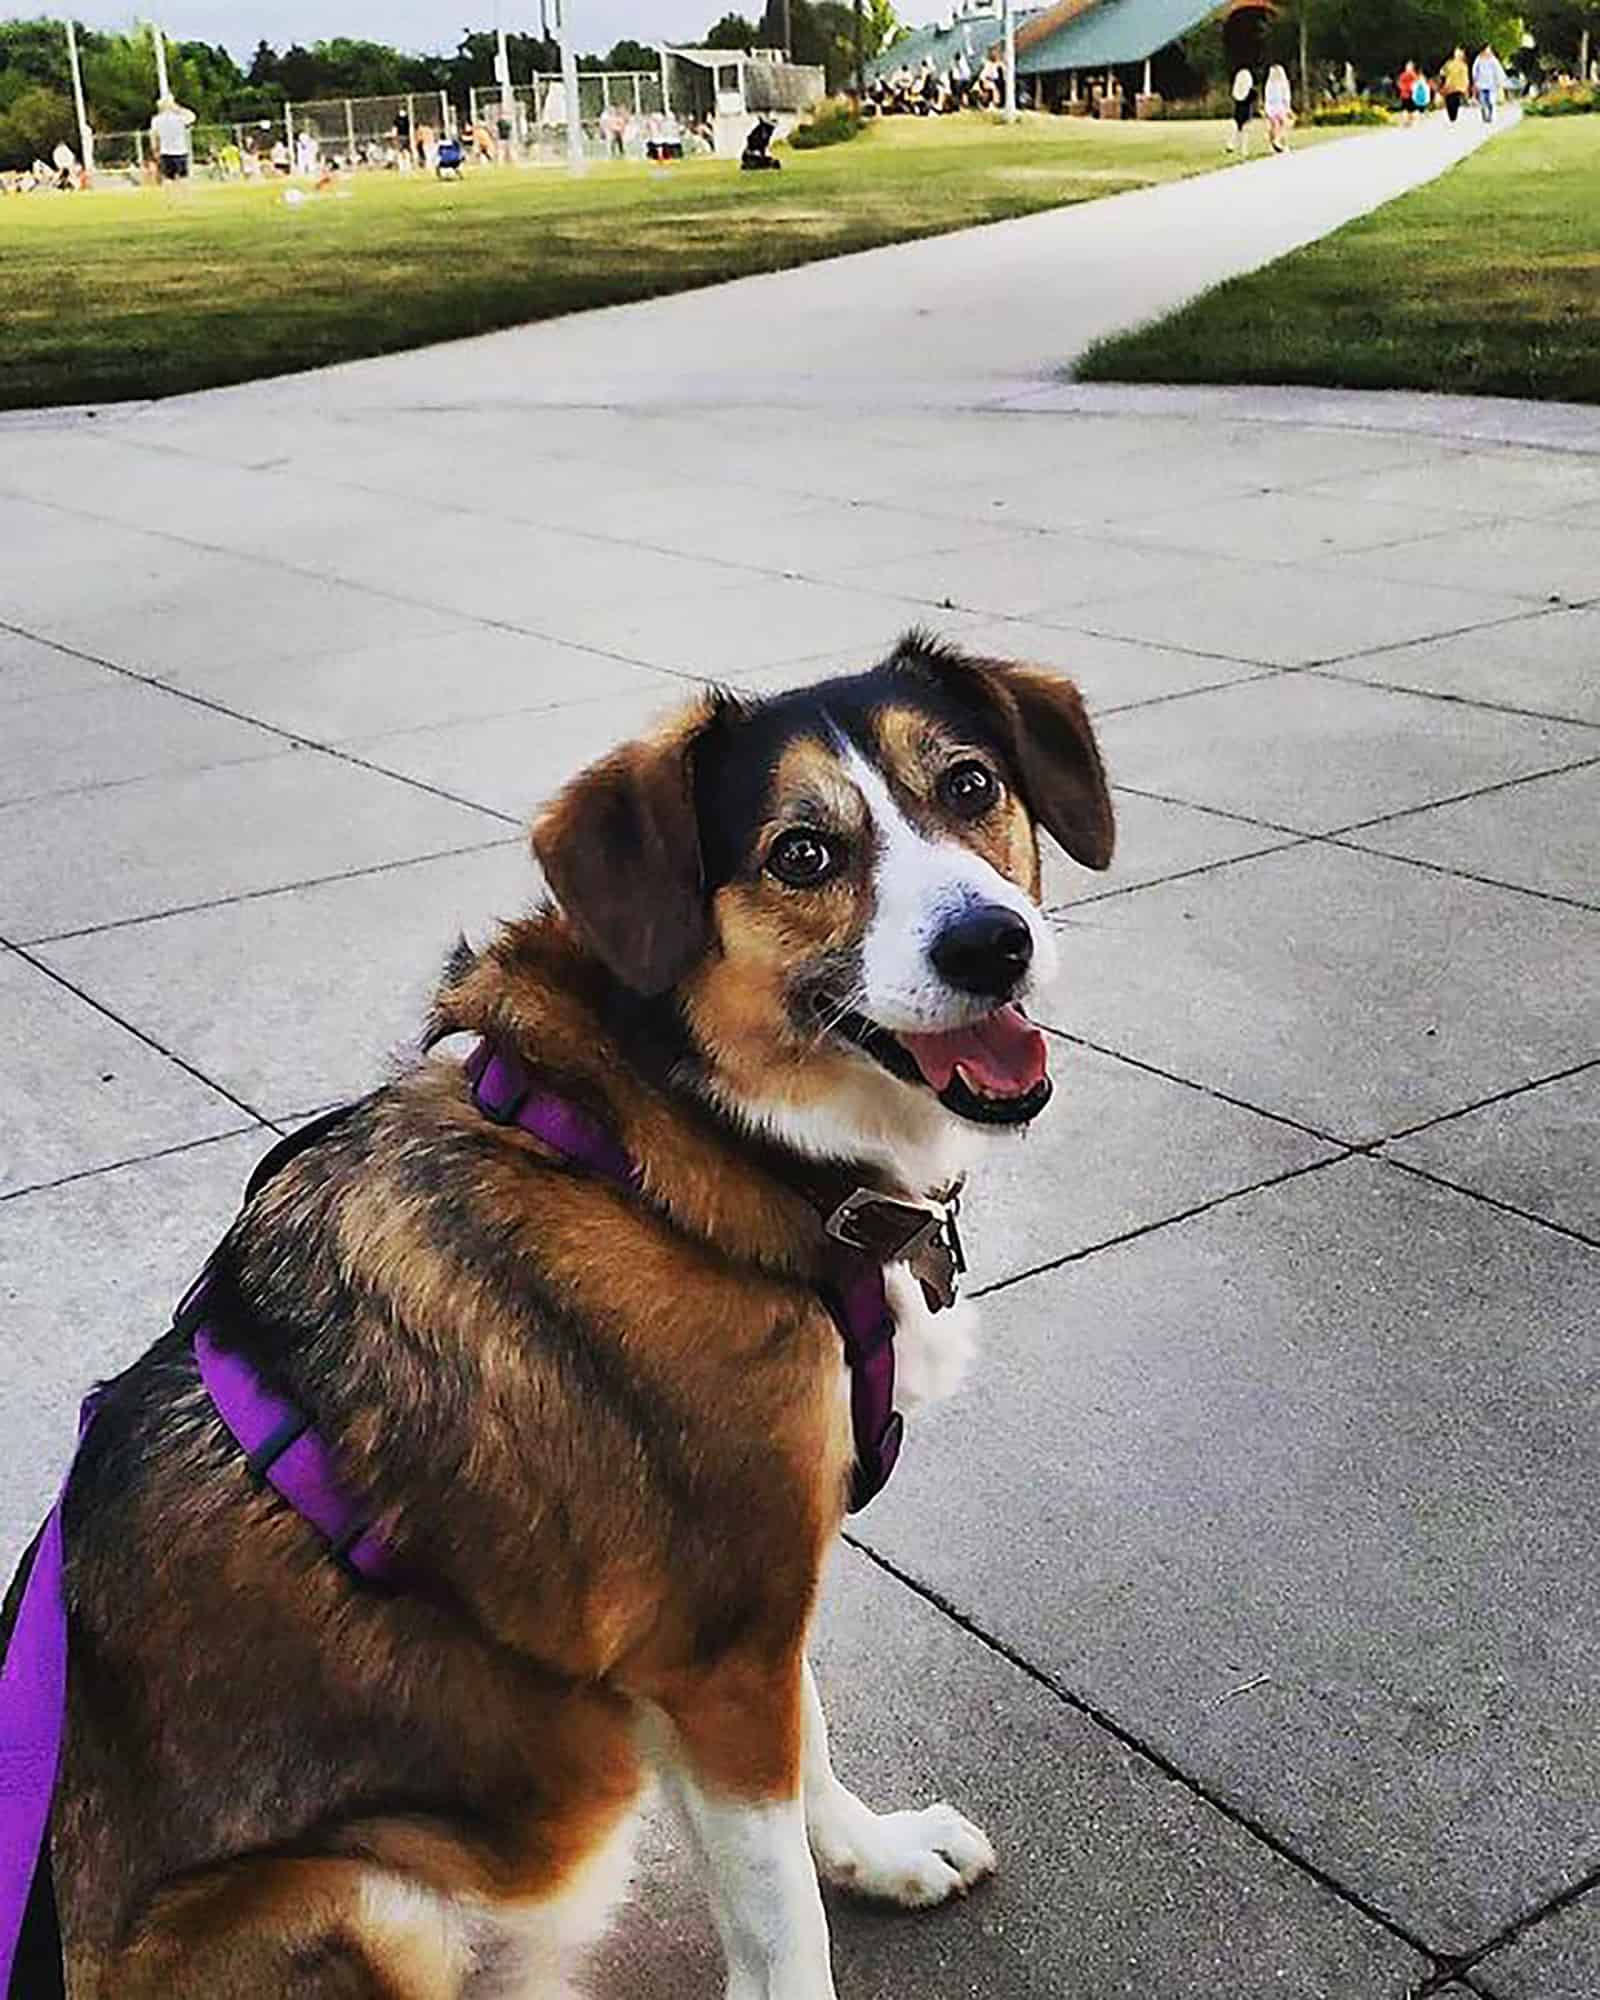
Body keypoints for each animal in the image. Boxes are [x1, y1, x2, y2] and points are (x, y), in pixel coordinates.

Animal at [34, 632, 1112, 1992]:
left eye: (970, 785)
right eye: (800, 854)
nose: (992, 945)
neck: (683, 1145)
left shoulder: (749, 1607)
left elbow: (810, 1751)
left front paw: (873, 1852)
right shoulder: (720, 1639)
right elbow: (778, 1918)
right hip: (362, 1897)